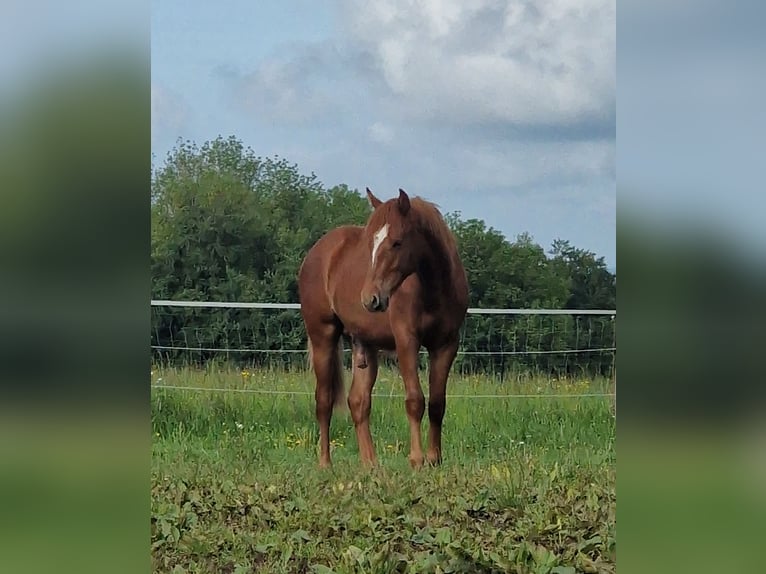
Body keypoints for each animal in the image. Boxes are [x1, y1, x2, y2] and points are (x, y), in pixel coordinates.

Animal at [298, 188, 469, 468]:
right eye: (370, 244)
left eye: (397, 242)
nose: (370, 298)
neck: (434, 290)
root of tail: (317, 252)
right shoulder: (406, 341)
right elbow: (415, 400)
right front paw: (417, 459)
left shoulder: (446, 345)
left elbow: (437, 403)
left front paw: (434, 459)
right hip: (323, 335)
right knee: (324, 400)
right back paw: (325, 463)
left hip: (365, 344)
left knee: (358, 402)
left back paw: (371, 464)